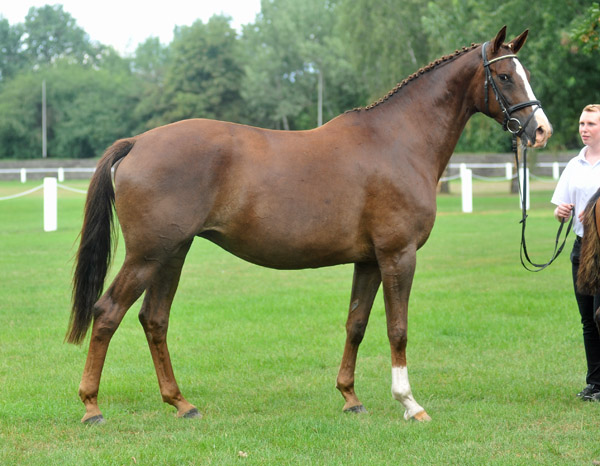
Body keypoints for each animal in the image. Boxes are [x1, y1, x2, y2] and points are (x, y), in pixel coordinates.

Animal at [67, 27, 552, 424]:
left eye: (524, 73)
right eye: (504, 77)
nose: (541, 130)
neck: (398, 141)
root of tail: (138, 143)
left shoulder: (369, 261)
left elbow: (356, 324)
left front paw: (350, 398)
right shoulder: (398, 255)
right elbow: (397, 329)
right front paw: (410, 403)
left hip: (173, 253)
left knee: (154, 319)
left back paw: (181, 403)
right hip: (148, 254)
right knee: (107, 313)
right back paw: (91, 407)